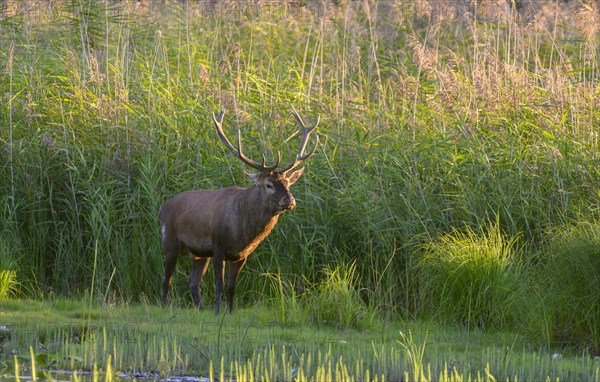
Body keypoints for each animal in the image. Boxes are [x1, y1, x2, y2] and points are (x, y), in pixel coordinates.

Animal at [158, 109, 318, 314]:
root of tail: (163, 207)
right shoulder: (218, 246)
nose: (289, 200)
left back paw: (200, 308)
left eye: (288, 183)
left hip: (199, 252)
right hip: (169, 240)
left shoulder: (241, 255)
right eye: (268, 184)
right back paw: (164, 306)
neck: (241, 232)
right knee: (166, 279)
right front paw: (218, 312)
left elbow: (231, 286)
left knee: (192, 282)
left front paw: (230, 312)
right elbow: (219, 284)